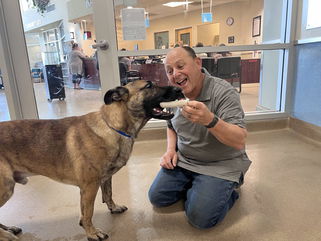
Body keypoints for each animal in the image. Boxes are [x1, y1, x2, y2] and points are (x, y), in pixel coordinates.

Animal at [0, 80, 182, 241]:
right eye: (149, 85)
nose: (179, 89)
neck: (113, 126)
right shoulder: (89, 187)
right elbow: (88, 213)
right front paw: (92, 233)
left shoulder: (106, 178)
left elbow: (108, 194)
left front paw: (113, 208)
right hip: (6, 188)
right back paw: (7, 235)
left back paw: (8, 229)